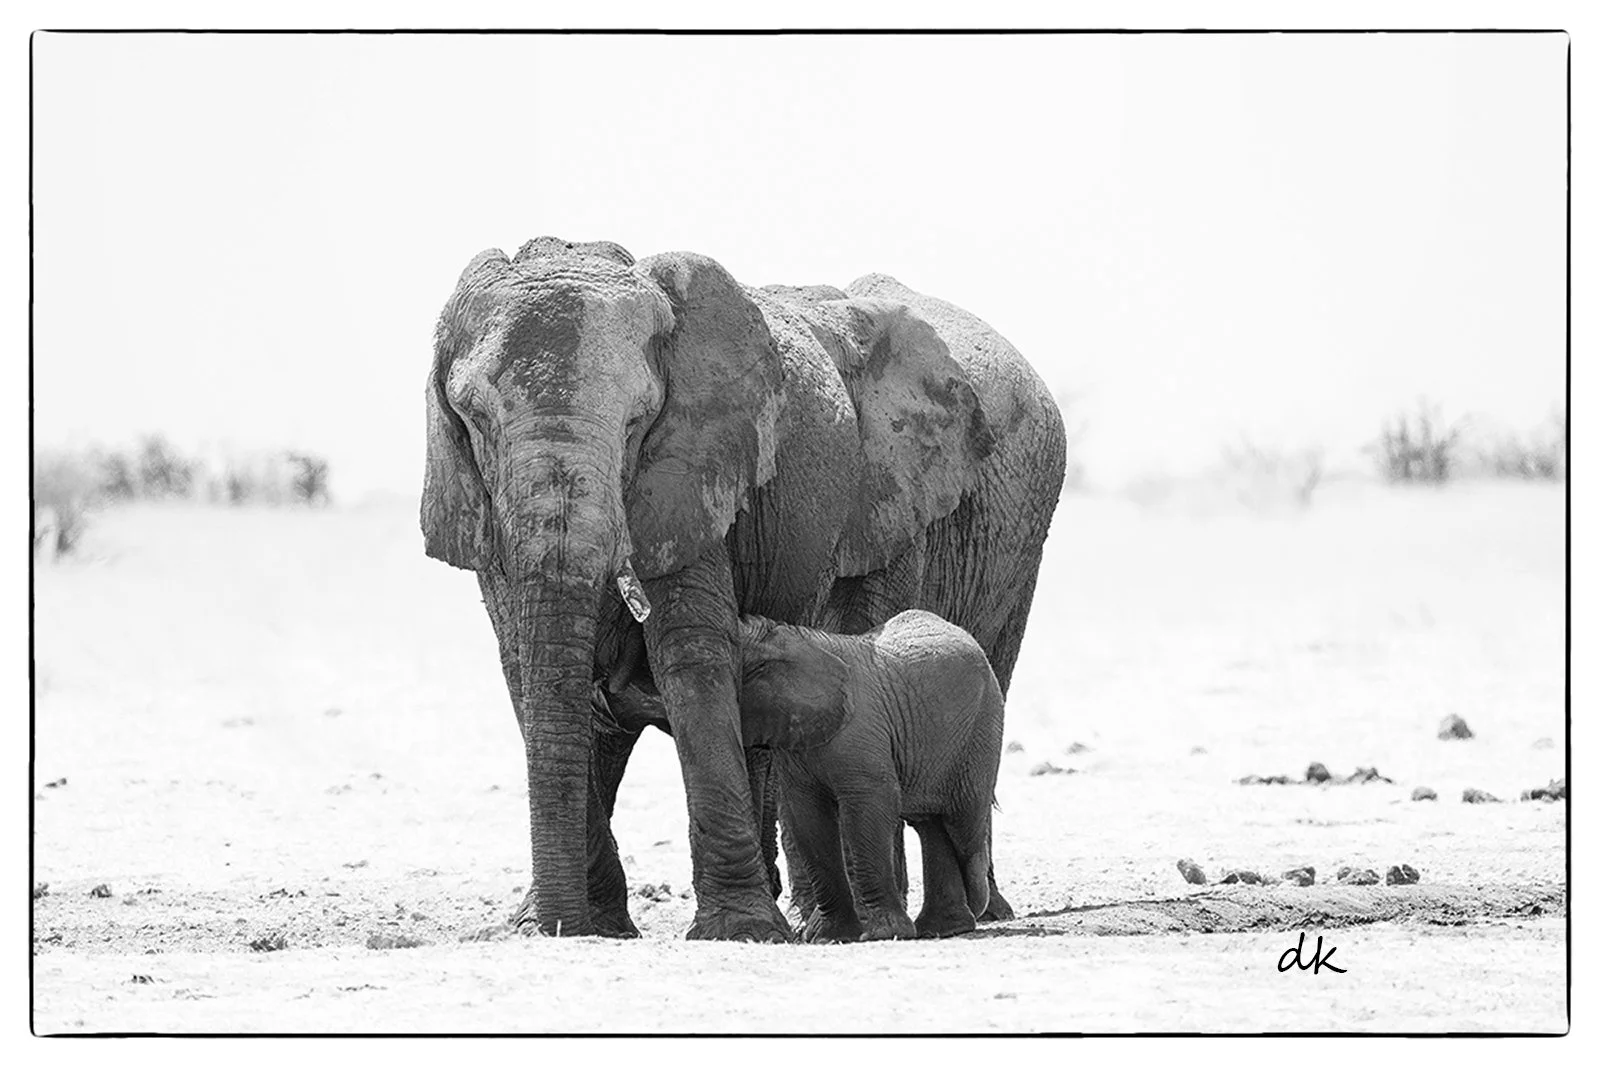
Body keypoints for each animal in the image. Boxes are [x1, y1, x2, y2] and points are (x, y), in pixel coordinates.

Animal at [736, 610, 1003, 943]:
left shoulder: (860, 730)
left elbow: (869, 806)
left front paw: (882, 934)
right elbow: (808, 819)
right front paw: (828, 937)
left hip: (980, 728)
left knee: (961, 823)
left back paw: (961, 915)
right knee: (932, 825)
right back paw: (943, 929)